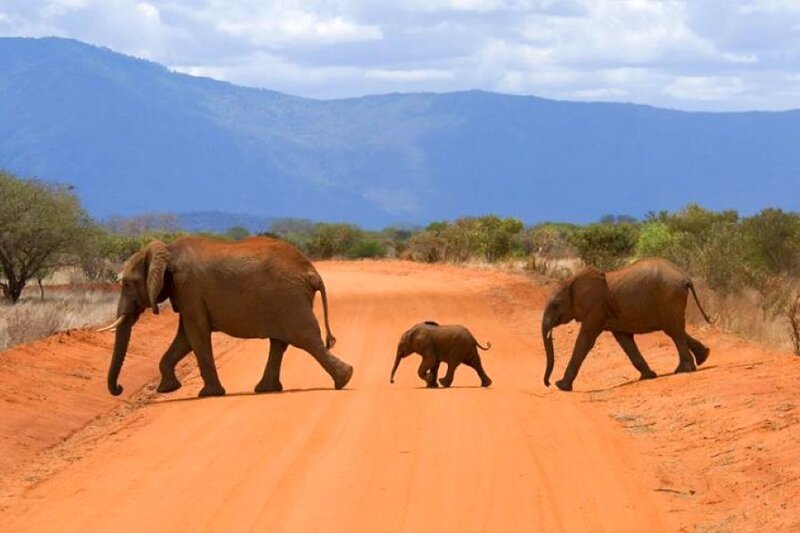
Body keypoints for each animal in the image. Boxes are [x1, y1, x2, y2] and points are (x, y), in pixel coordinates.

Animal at [100, 236, 354, 397]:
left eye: (126, 284)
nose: (119, 389)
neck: (166, 250)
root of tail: (312, 272)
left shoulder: (188, 287)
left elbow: (196, 333)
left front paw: (208, 394)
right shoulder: (184, 293)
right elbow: (185, 337)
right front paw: (168, 389)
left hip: (289, 298)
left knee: (306, 339)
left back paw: (344, 379)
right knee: (280, 343)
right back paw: (266, 389)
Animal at [541, 257, 712, 392]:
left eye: (555, 305)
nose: (548, 383)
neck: (572, 280)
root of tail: (685, 277)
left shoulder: (595, 309)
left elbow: (585, 341)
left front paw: (561, 386)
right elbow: (625, 341)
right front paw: (648, 376)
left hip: (669, 296)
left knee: (674, 331)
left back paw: (683, 370)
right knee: (675, 328)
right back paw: (703, 357)